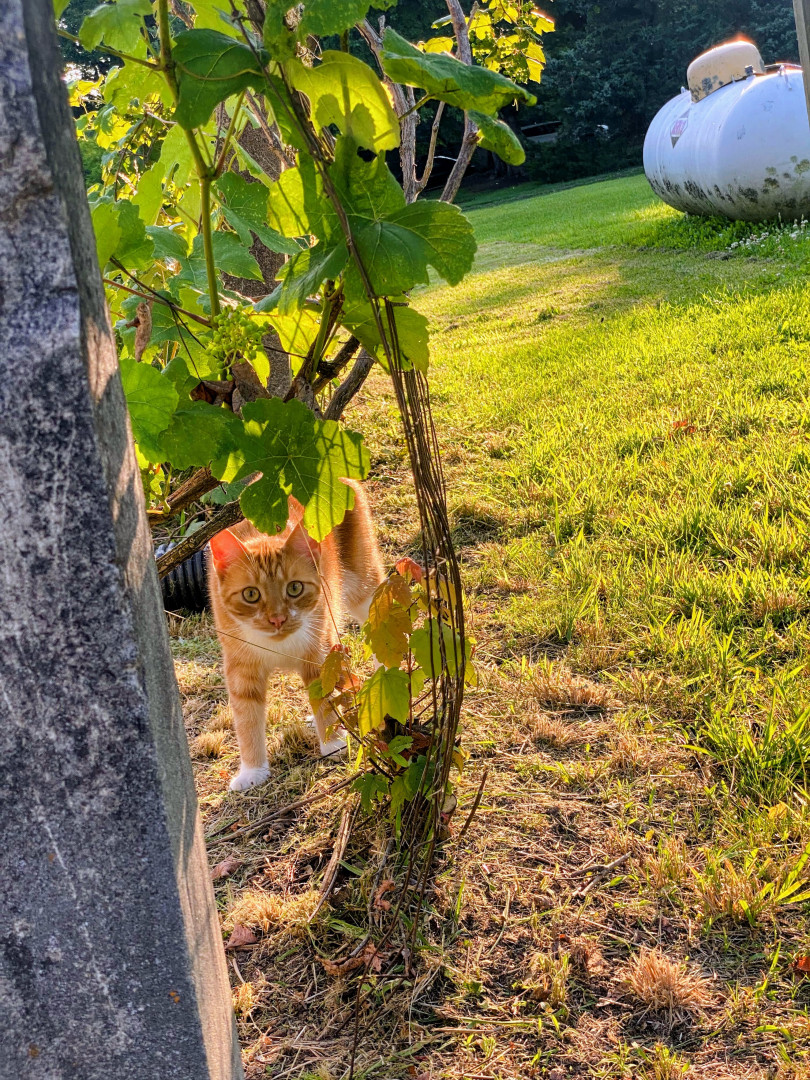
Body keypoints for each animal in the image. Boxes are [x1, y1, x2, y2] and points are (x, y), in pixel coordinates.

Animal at [207, 479, 385, 792]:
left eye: (294, 588)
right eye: (251, 595)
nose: (277, 618)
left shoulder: (320, 653)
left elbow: (324, 698)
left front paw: (333, 743)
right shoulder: (241, 666)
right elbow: (246, 718)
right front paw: (252, 771)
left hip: (362, 585)